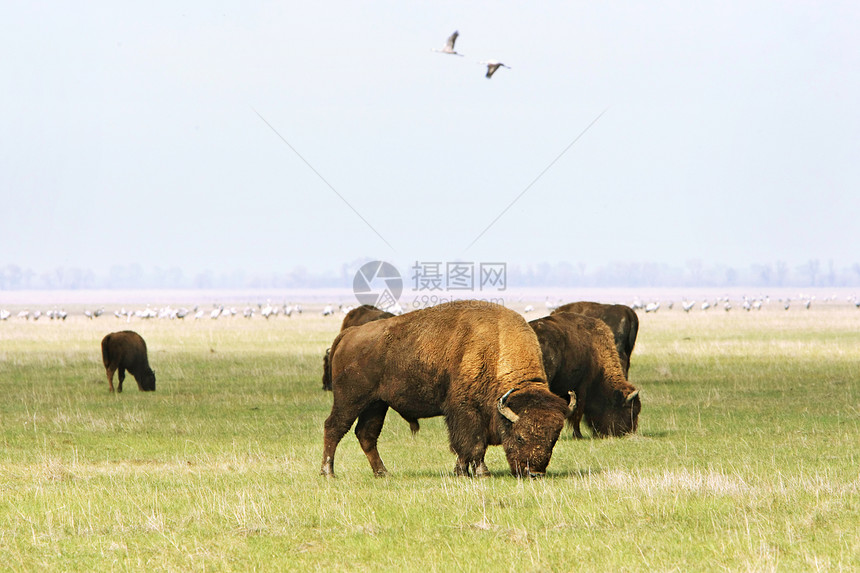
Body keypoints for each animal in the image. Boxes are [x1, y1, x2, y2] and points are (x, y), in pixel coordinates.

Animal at [322, 300, 572, 478]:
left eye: (553, 439)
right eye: (520, 437)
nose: (534, 473)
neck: (496, 347)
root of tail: (348, 334)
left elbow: (469, 448)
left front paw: (462, 471)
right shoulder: (466, 411)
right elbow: (473, 444)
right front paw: (481, 473)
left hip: (376, 404)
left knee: (366, 435)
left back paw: (382, 473)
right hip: (350, 400)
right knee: (334, 427)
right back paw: (328, 472)